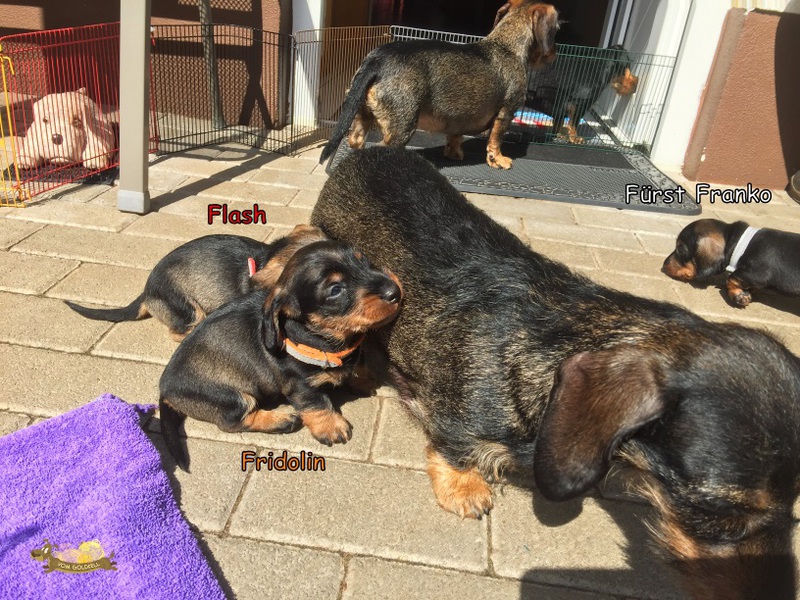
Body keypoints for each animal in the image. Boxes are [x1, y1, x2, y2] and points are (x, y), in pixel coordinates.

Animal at [158, 239, 403, 470]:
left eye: (365, 261)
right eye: (335, 290)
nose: (395, 292)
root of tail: (165, 390)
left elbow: (358, 361)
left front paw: (364, 380)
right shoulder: (300, 385)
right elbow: (317, 404)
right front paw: (331, 427)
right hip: (229, 397)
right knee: (232, 422)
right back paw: (282, 420)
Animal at [318, 0, 560, 170]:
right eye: (557, 29)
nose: (554, 55)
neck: (506, 45)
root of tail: (378, 59)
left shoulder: (459, 120)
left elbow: (455, 137)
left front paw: (454, 154)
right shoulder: (506, 112)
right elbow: (496, 140)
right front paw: (498, 160)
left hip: (362, 112)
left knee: (355, 141)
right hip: (402, 126)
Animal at [663, 218, 800, 308]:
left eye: (680, 249)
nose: (664, 265)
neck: (742, 245)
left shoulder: (756, 274)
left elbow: (730, 278)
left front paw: (738, 295)